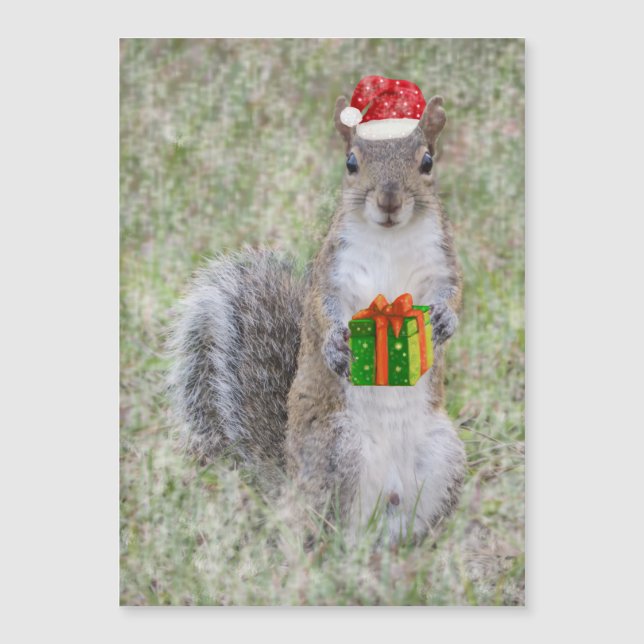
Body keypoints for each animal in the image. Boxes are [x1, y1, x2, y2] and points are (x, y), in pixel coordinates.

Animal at [169, 88, 466, 543]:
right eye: (351, 163)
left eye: (427, 161)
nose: (390, 201)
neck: (391, 239)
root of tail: (292, 490)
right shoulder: (332, 269)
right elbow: (321, 309)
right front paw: (332, 348)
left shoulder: (443, 261)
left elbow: (455, 293)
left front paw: (446, 321)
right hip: (338, 451)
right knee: (333, 530)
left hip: (443, 454)